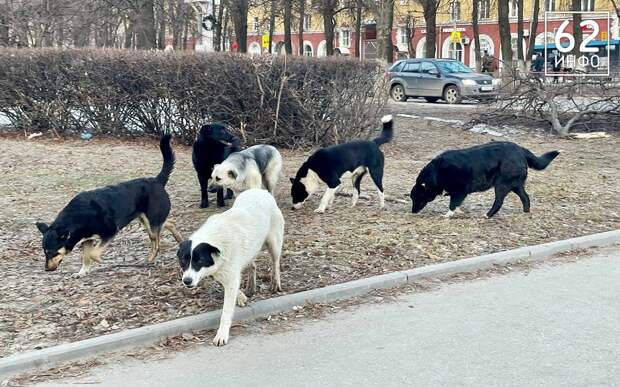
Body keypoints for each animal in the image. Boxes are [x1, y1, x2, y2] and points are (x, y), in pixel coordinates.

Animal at [35, 135, 182, 278]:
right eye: (45, 252)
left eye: (53, 252)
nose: (47, 269)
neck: (77, 218)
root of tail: (157, 181)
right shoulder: (87, 240)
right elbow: (86, 257)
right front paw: (82, 272)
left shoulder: (110, 232)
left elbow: (93, 254)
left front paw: (99, 260)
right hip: (145, 219)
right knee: (169, 224)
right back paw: (179, 240)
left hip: (151, 222)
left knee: (156, 241)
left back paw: (152, 257)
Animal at [178, 189, 284, 348]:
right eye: (183, 261)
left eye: (199, 261)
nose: (187, 281)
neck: (215, 240)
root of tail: (260, 190)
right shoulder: (224, 273)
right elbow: (234, 286)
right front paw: (241, 296)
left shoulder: (229, 275)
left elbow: (226, 311)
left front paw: (221, 335)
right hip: (251, 249)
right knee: (253, 265)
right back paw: (251, 287)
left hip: (273, 242)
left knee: (275, 262)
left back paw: (275, 283)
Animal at [410, 141, 560, 218]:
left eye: (417, 197)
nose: (412, 212)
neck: (436, 173)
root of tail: (521, 150)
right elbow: (457, 204)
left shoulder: (459, 191)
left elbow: (453, 204)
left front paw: (448, 215)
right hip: (516, 184)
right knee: (525, 197)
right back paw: (526, 211)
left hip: (502, 184)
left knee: (499, 201)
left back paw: (488, 215)